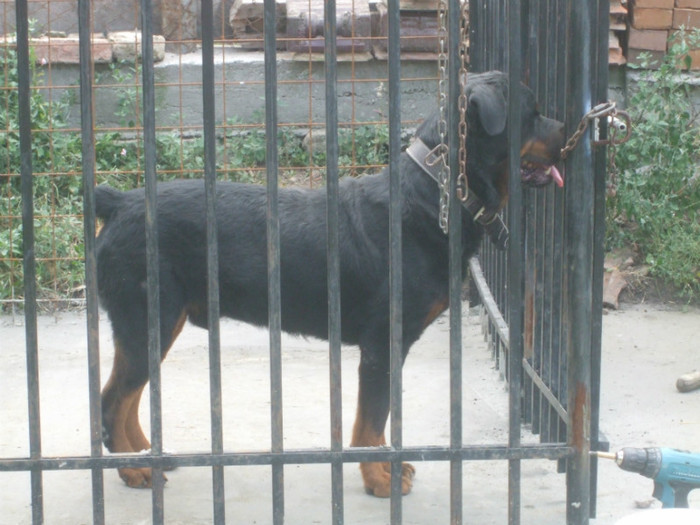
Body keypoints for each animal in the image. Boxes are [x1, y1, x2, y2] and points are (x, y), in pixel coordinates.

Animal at [94, 70, 564, 496]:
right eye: (534, 114)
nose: (570, 132)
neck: (435, 194)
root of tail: (119, 203)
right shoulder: (382, 344)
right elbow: (370, 420)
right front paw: (379, 480)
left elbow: (376, 419)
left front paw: (387, 467)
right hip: (148, 319)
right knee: (114, 399)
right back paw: (134, 469)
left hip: (155, 323)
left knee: (127, 396)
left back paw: (146, 456)